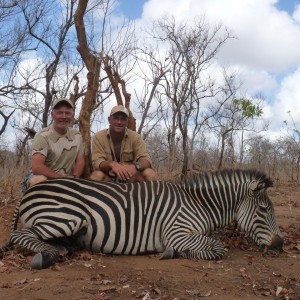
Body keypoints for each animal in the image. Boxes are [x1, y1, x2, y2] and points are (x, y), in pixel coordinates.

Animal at [1, 169, 284, 270]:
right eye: (263, 210)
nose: (280, 245)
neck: (198, 203)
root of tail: (30, 190)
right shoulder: (176, 232)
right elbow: (217, 248)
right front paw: (173, 253)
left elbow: (213, 245)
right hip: (67, 216)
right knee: (20, 234)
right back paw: (47, 255)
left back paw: (62, 249)